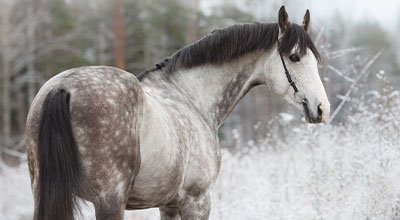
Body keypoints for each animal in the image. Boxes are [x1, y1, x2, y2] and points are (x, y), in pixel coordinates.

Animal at [26, 6, 330, 220]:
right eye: (294, 57)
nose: (322, 108)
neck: (190, 97)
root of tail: (63, 88)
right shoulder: (197, 201)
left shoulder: (168, 204)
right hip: (109, 201)